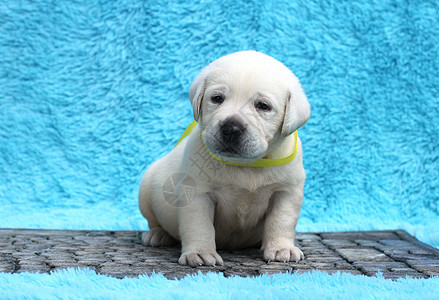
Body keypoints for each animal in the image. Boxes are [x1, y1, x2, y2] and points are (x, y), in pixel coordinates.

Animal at [139, 51, 312, 268]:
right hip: (146, 189)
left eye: (263, 106)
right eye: (217, 98)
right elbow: (199, 225)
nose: (231, 128)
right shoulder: (197, 194)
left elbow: (281, 221)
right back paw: (157, 234)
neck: (248, 164)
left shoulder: (287, 192)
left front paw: (282, 248)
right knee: (153, 220)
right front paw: (200, 252)